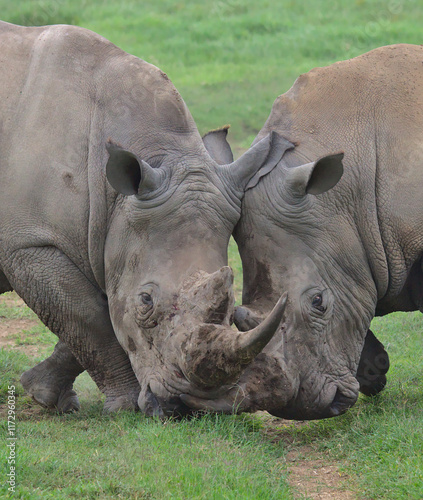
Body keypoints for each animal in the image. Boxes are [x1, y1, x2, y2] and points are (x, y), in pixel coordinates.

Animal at [0, 21, 288, 416]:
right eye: (146, 301)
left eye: (232, 309)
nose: (182, 407)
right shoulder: (28, 241)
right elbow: (87, 317)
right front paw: (123, 406)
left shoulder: (104, 235)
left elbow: (95, 314)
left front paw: (43, 393)